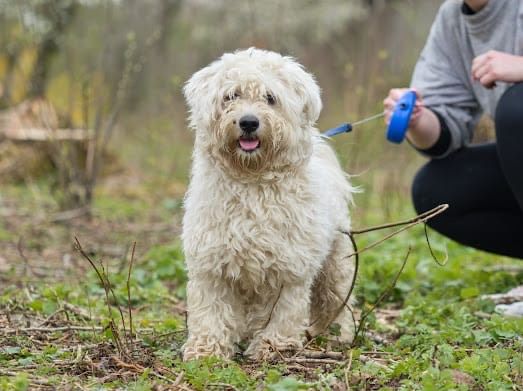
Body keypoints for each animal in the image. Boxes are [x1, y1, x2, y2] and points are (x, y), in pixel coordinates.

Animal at [180, 46, 356, 362]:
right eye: (231, 96)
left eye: (270, 98)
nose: (249, 122)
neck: (252, 181)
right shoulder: (211, 263)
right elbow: (211, 310)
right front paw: (206, 350)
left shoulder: (290, 267)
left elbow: (284, 312)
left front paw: (273, 346)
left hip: (336, 262)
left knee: (334, 299)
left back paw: (336, 335)